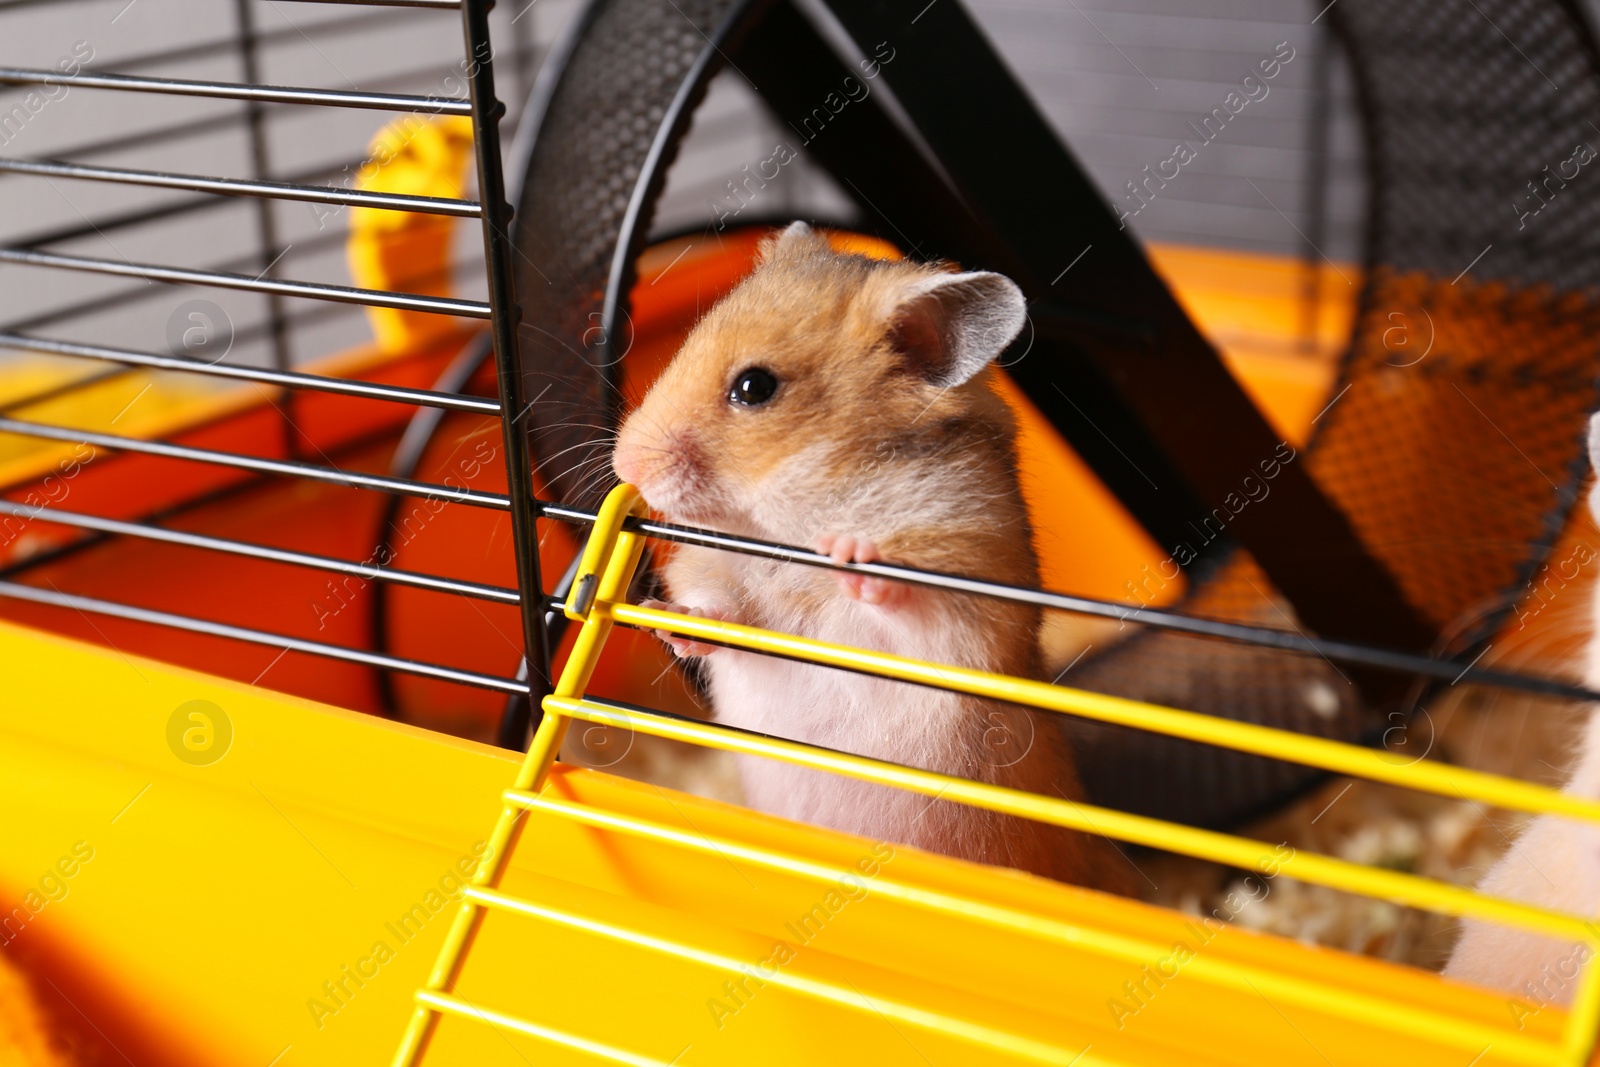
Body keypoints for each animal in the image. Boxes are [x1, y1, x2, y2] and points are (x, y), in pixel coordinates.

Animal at [604, 219, 1132, 895]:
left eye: (754, 388)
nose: (625, 465)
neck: (790, 515)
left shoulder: (969, 577)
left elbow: (910, 601)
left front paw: (851, 552)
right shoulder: (720, 569)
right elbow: (720, 609)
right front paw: (669, 623)